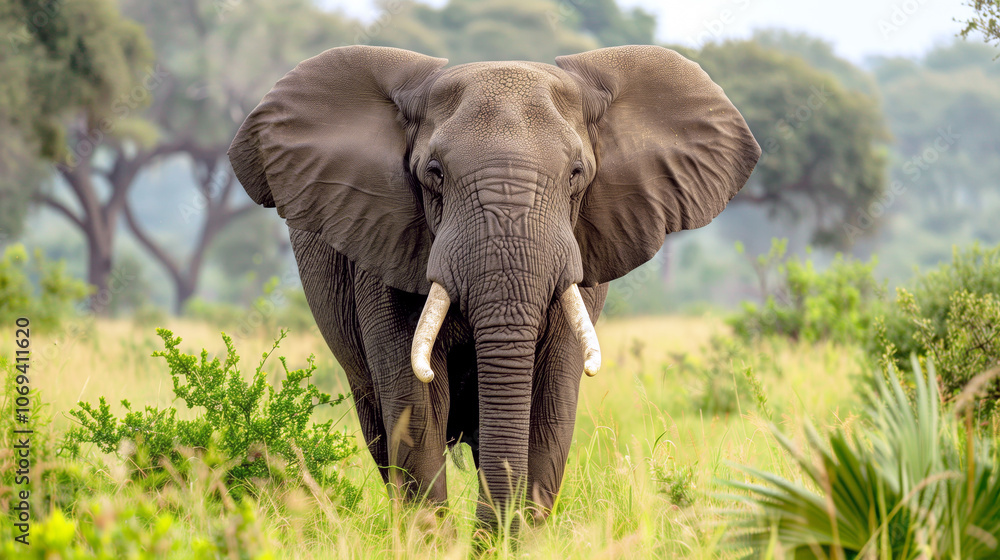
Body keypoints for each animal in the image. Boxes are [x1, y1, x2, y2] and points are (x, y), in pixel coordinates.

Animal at [228, 44, 759, 528]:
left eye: (576, 174)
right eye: (434, 174)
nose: (488, 537)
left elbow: (548, 411)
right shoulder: (384, 245)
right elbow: (416, 411)